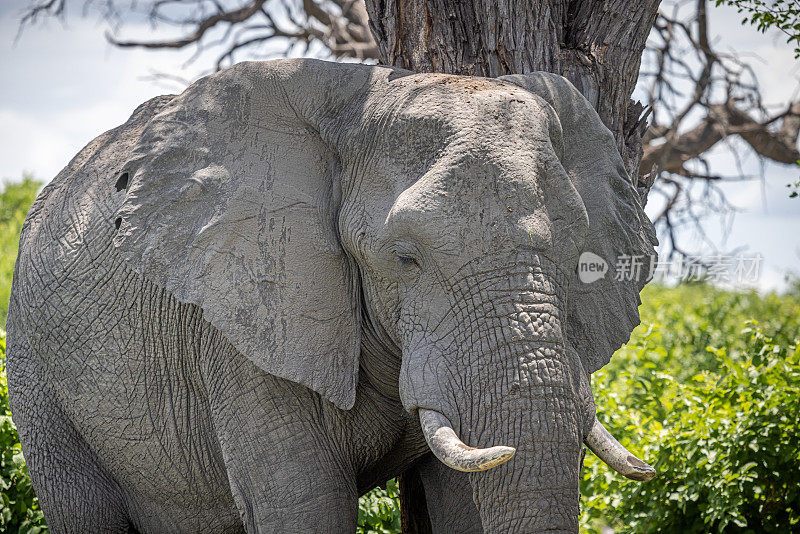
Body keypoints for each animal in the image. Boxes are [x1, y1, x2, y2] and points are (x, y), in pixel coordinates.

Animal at [6, 59, 656, 534]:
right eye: (404, 257)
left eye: (576, 253)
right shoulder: (245, 322)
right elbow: (304, 503)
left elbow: (462, 500)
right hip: (36, 374)